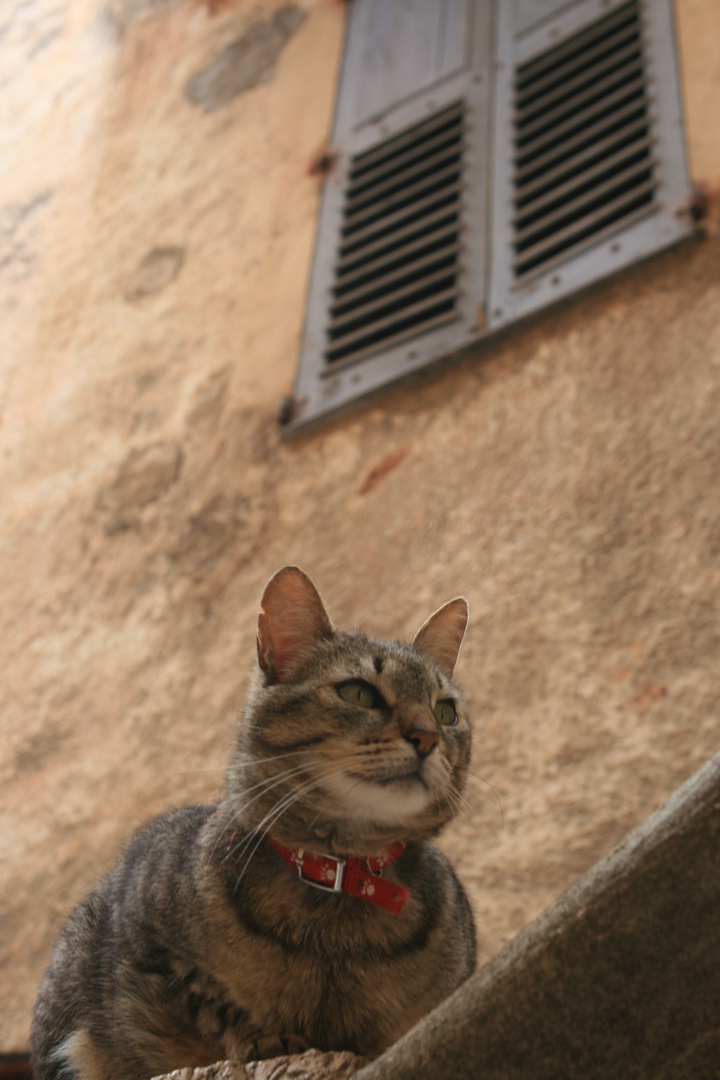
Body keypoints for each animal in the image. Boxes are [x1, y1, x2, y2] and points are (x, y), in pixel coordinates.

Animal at [32, 565, 479, 1080]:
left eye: (445, 711)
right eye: (358, 692)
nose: (428, 737)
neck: (342, 878)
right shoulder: (147, 930)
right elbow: (212, 998)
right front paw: (265, 1037)